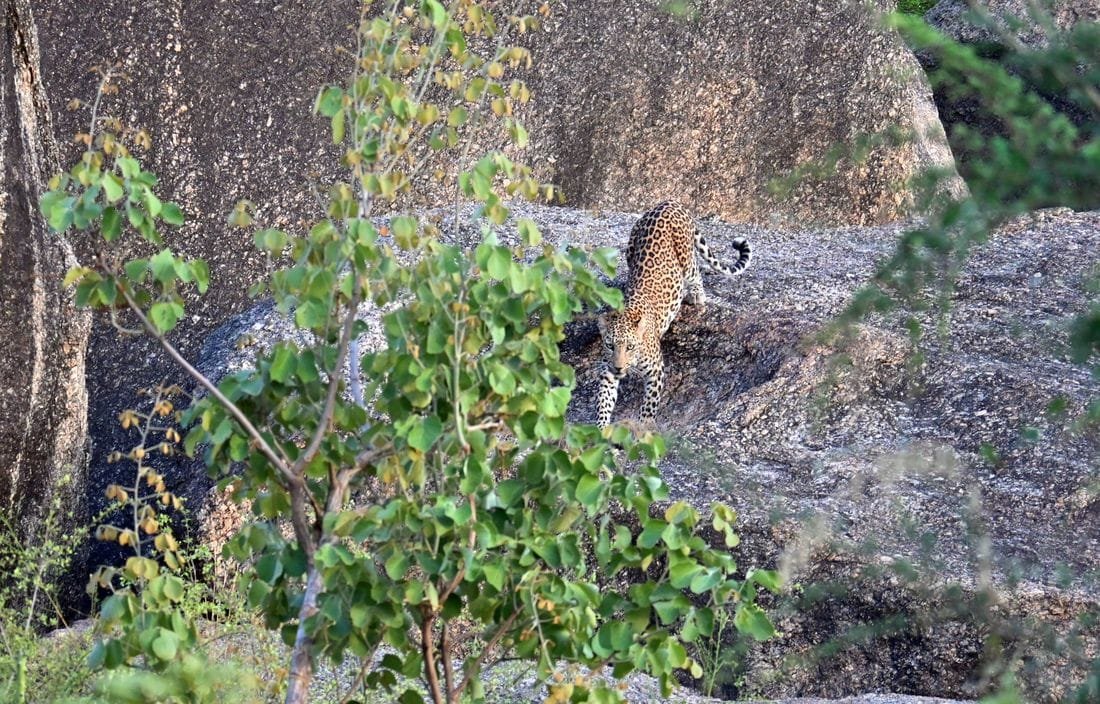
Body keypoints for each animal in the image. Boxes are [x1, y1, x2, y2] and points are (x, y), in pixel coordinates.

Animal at [596, 201, 751, 428]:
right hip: (630, 246)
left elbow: (649, 405)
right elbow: (603, 401)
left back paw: (696, 295)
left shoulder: (656, 371)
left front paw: (644, 427)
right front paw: (600, 428)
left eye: (630, 347)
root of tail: (668, 203)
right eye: (610, 346)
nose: (619, 368)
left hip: (685, 255)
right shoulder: (607, 371)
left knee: (695, 272)